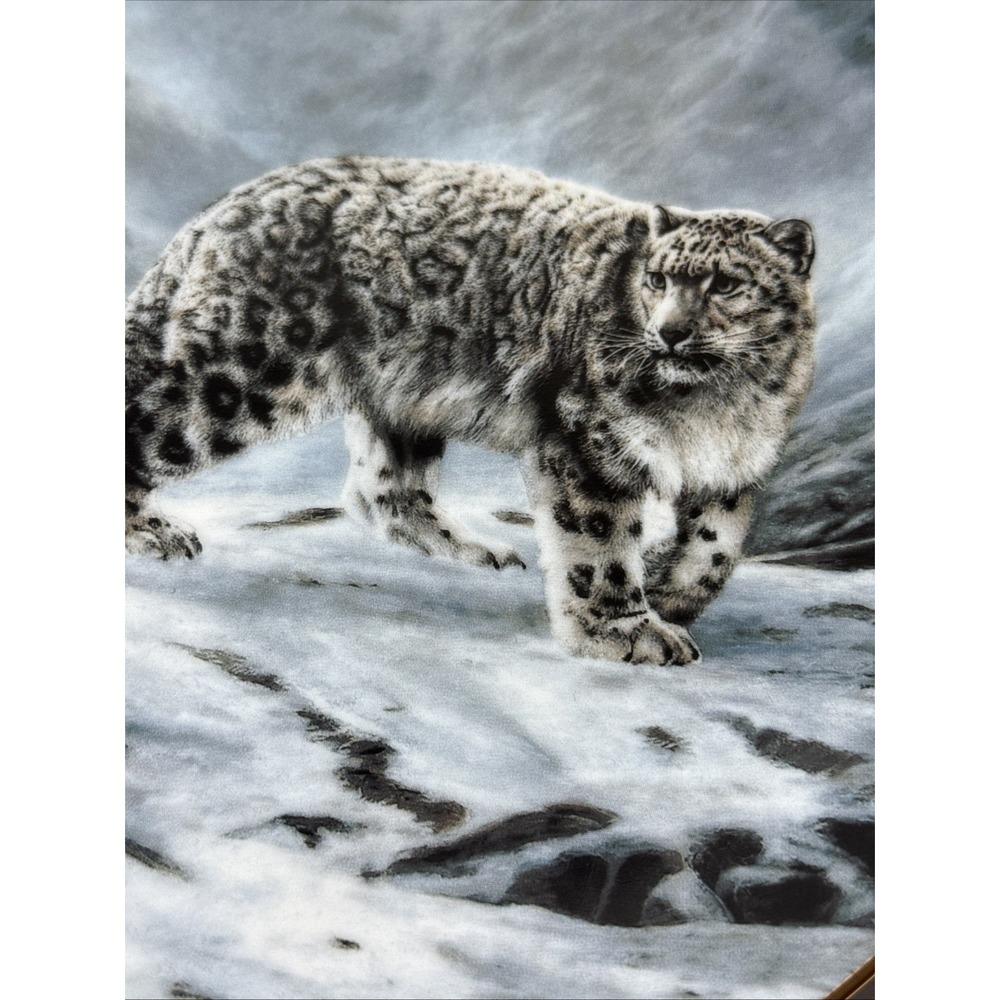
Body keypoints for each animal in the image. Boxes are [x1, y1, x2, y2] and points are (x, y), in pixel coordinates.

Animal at [126, 155, 815, 666]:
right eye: (656, 280)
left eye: (726, 284)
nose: (670, 332)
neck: (717, 405)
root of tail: (226, 207)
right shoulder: (590, 445)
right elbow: (599, 545)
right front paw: (623, 630)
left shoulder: (738, 465)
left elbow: (716, 549)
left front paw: (669, 593)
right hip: (239, 376)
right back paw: (153, 533)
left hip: (405, 398)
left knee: (382, 488)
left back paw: (473, 551)